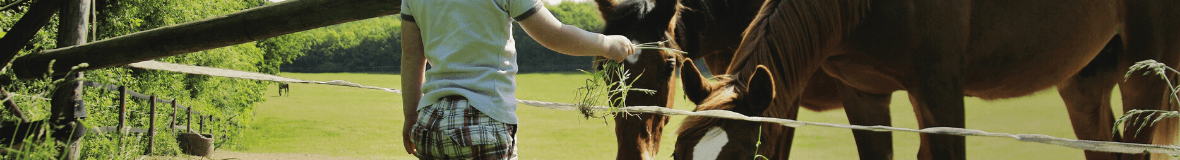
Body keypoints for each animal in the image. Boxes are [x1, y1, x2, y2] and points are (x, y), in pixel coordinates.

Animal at [674, 0, 1180, 160]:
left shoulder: (940, 91)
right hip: (1083, 81)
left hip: (1145, 75)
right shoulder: (865, 95)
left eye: (740, 159)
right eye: (678, 154)